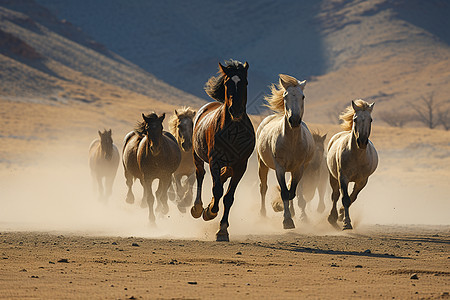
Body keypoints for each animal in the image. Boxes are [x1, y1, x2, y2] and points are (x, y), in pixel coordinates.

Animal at [190, 59, 255, 243]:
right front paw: (210, 212)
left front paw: (223, 230)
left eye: (245, 82)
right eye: (227, 83)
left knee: (223, 177)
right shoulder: (215, 161)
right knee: (200, 175)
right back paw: (198, 208)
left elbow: (228, 197)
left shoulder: (241, 165)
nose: (236, 110)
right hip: (197, 156)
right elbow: (217, 190)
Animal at [256, 74, 312, 229]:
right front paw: (287, 220)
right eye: (285, 96)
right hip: (262, 164)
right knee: (263, 187)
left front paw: (294, 215)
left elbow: (292, 192)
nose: (294, 120)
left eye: (303, 96)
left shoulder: (299, 168)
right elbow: (285, 193)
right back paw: (262, 214)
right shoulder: (279, 168)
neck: (291, 142)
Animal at [326, 99, 378, 230]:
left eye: (371, 119)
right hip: (333, 177)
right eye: (355, 119)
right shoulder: (343, 177)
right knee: (335, 195)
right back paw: (332, 218)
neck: (357, 157)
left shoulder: (362, 181)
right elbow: (345, 198)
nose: (362, 141)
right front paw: (347, 223)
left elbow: (352, 198)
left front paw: (342, 215)